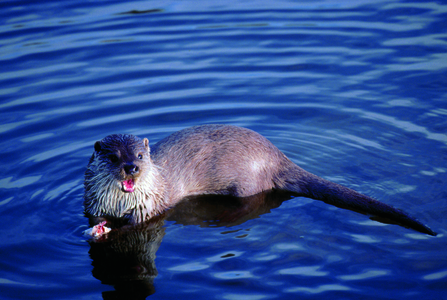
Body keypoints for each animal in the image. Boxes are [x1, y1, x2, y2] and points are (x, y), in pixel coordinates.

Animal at [85, 124, 438, 237]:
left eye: (140, 155)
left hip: (246, 184)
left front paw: (110, 232)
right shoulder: (92, 204)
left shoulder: (150, 209)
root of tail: (276, 155)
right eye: (114, 157)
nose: (131, 167)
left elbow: (136, 226)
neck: (118, 204)